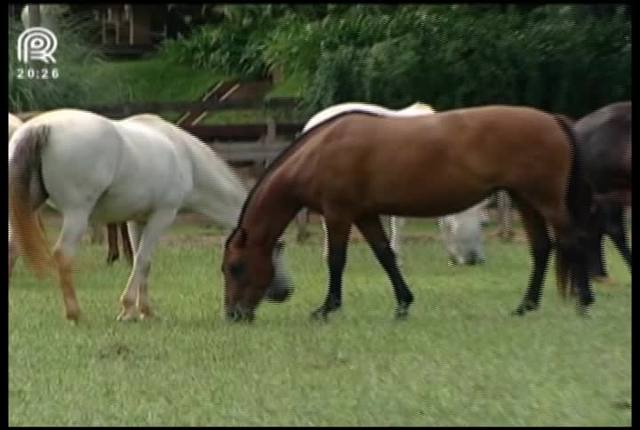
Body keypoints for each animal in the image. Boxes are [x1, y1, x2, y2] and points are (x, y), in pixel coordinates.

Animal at [8, 109, 294, 320]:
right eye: (278, 247)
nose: (286, 291)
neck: (186, 158)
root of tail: (39, 127)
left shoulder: (138, 220)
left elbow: (141, 261)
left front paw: (143, 310)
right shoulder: (162, 216)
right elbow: (144, 259)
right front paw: (128, 310)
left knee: (13, 247)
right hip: (76, 214)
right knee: (63, 255)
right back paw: (75, 314)